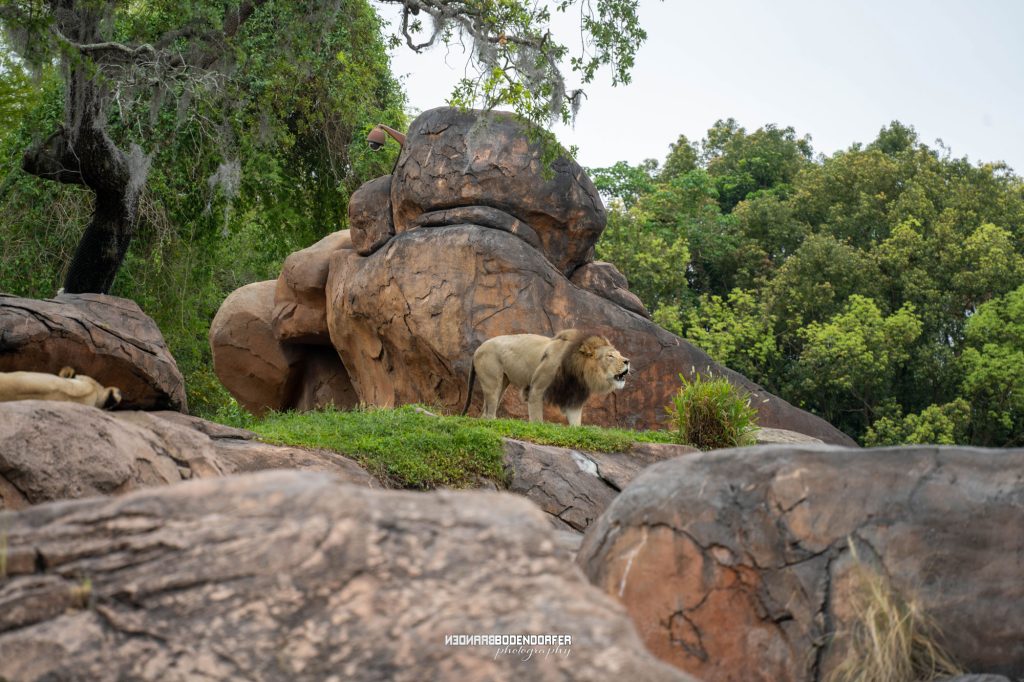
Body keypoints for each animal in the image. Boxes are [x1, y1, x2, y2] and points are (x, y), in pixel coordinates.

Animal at [462, 329, 630, 426]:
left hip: (503, 381)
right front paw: (537, 427)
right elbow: (537, 416)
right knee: (491, 403)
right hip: (492, 379)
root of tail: (478, 348)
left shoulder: (574, 397)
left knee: (487, 407)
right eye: (610, 356)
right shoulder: (537, 388)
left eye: (619, 354)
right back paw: (492, 421)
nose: (628, 361)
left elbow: (576, 422)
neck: (578, 373)